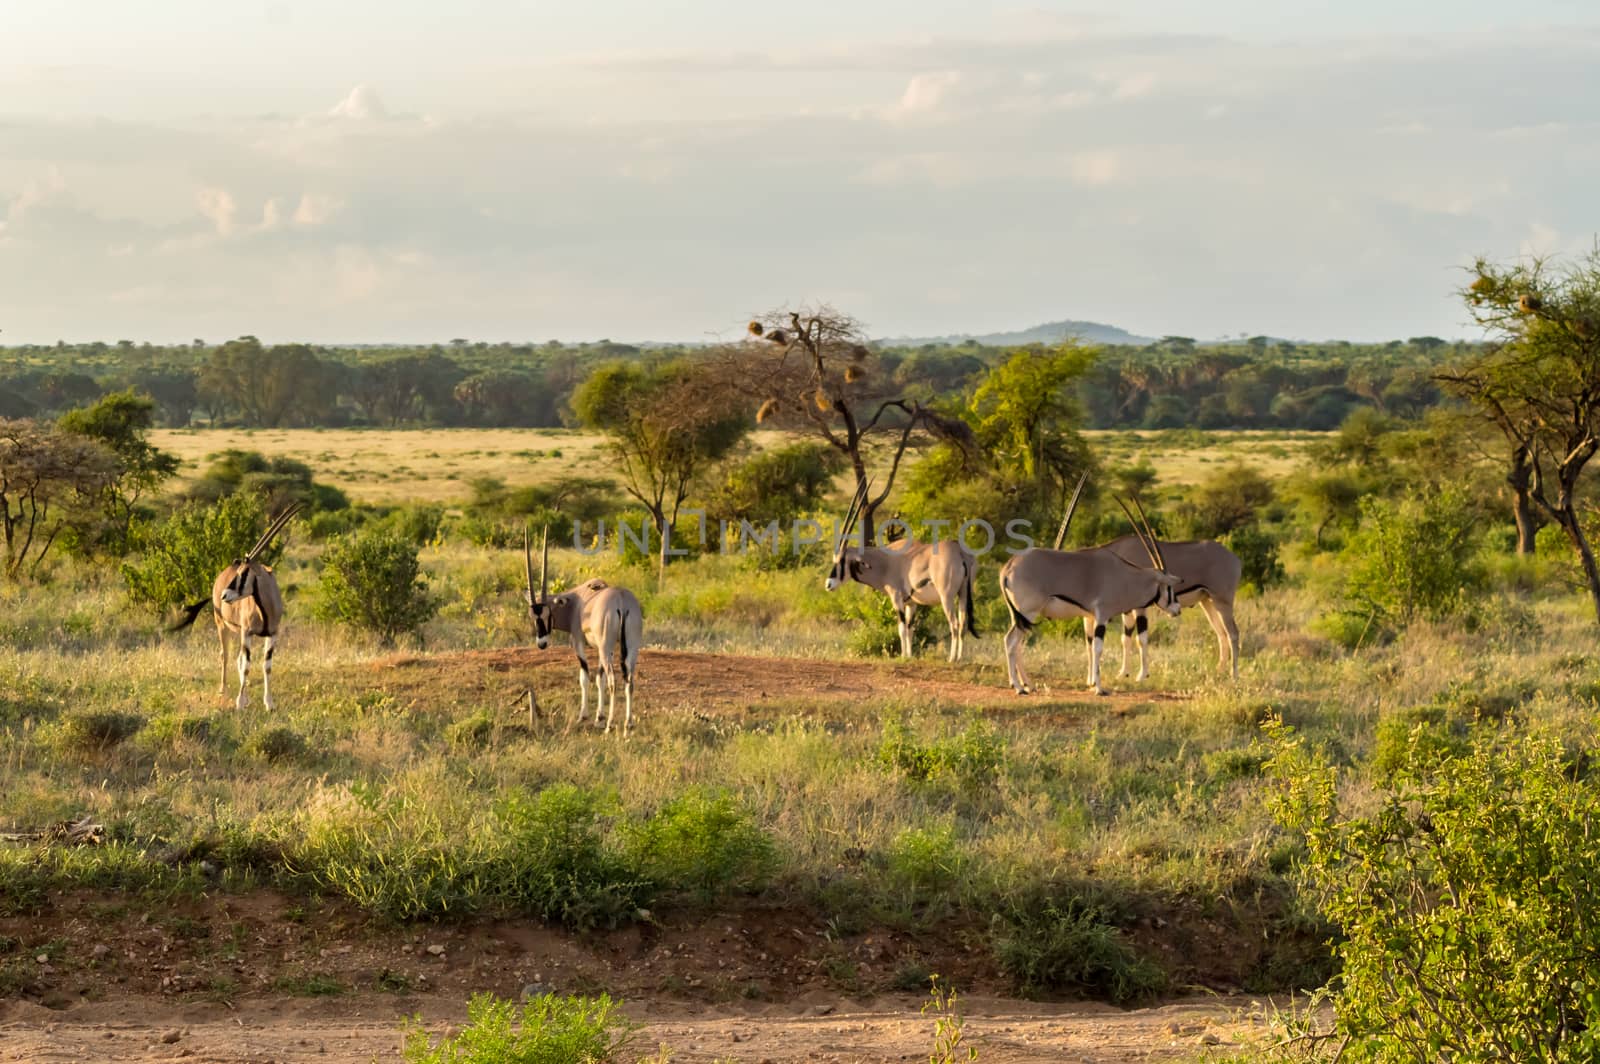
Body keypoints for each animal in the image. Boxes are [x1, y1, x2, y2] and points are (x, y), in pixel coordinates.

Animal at [168, 502, 302, 710]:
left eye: (245, 573)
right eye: (240, 571)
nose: (224, 595)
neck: (266, 607)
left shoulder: (272, 634)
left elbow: (266, 666)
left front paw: (269, 703)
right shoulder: (247, 632)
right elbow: (246, 666)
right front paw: (240, 702)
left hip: (239, 632)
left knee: (239, 658)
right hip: (223, 626)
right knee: (225, 655)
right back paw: (224, 691)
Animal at [531, 521, 643, 729]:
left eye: (548, 613)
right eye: (533, 616)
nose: (541, 643)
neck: (575, 602)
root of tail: (622, 601)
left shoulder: (579, 643)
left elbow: (585, 677)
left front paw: (584, 715)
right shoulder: (603, 648)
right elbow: (599, 678)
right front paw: (599, 716)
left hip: (607, 647)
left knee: (613, 681)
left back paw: (610, 725)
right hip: (630, 647)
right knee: (629, 680)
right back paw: (628, 724)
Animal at [825, 480, 972, 656]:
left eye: (842, 560)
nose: (828, 584)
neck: (885, 561)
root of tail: (959, 553)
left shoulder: (896, 598)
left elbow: (901, 629)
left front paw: (903, 656)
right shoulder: (911, 603)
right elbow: (910, 629)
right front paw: (909, 655)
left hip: (947, 597)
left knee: (954, 624)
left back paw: (952, 658)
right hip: (962, 594)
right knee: (963, 624)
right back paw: (960, 658)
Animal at [998, 499, 1190, 697]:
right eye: (1169, 587)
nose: (1177, 609)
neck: (1124, 575)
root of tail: (1009, 567)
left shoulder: (1089, 616)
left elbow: (1089, 646)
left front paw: (1091, 683)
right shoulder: (1102, 616)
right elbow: (1098, 649)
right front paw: (1099, 688)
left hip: (1021, 616)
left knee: (1017, 645)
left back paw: (1028, 684)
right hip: (1029, 613)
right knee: (1011, 642)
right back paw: (1019, 687)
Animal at [1107, 540, 1241, 681]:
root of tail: (1235, 559)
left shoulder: (1140, 607)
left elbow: (1141, 639)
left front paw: (1142, 675)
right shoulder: (1127, 609)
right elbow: (1125, 639)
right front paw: (1123, 673)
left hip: (1222, 602)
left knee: (1233, 633)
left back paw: (1234, 676)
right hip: (1208, 602)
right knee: (1221, 633)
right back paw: (1219, 672)